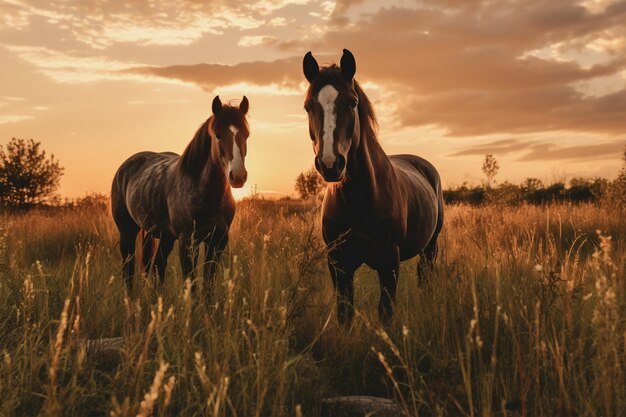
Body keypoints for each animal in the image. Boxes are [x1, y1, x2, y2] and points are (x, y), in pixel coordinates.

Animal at [109, 94, 249, 296]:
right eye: (218, 134)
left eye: (246, 135)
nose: (237, 176)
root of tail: (125, 166)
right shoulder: (187, 242)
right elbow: (191, 284)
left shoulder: (217, 241)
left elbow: (209, 282)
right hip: (127, 232)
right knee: (128, 270)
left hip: (165, 236)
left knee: (158, 265)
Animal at [302, 48, 444, 322]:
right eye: (308, 106)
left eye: (352, 103)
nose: (330, 163)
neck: (359, 199)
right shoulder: (338, 263)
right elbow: (345, 312)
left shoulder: (389, 263)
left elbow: (385, 312)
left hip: (429, 248)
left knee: (426, 279)